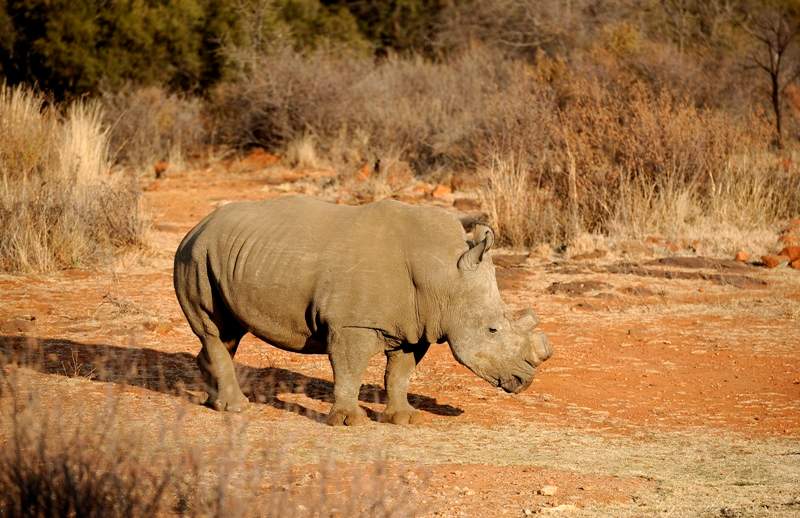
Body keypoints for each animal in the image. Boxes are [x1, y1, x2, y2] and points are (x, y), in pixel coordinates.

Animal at [173, 196, 552, 425]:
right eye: (492, 329)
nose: (525, 381)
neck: (443, 274)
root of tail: (197, 225)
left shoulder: (413, 326)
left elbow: (399, 374)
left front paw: (404, 419)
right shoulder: (351, 324)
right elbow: (349, 370)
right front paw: (348, 422)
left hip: (219, 255)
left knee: (227, 334)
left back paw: (214, 402)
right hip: (195, 256)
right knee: (213, 329)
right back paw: (237, 409)